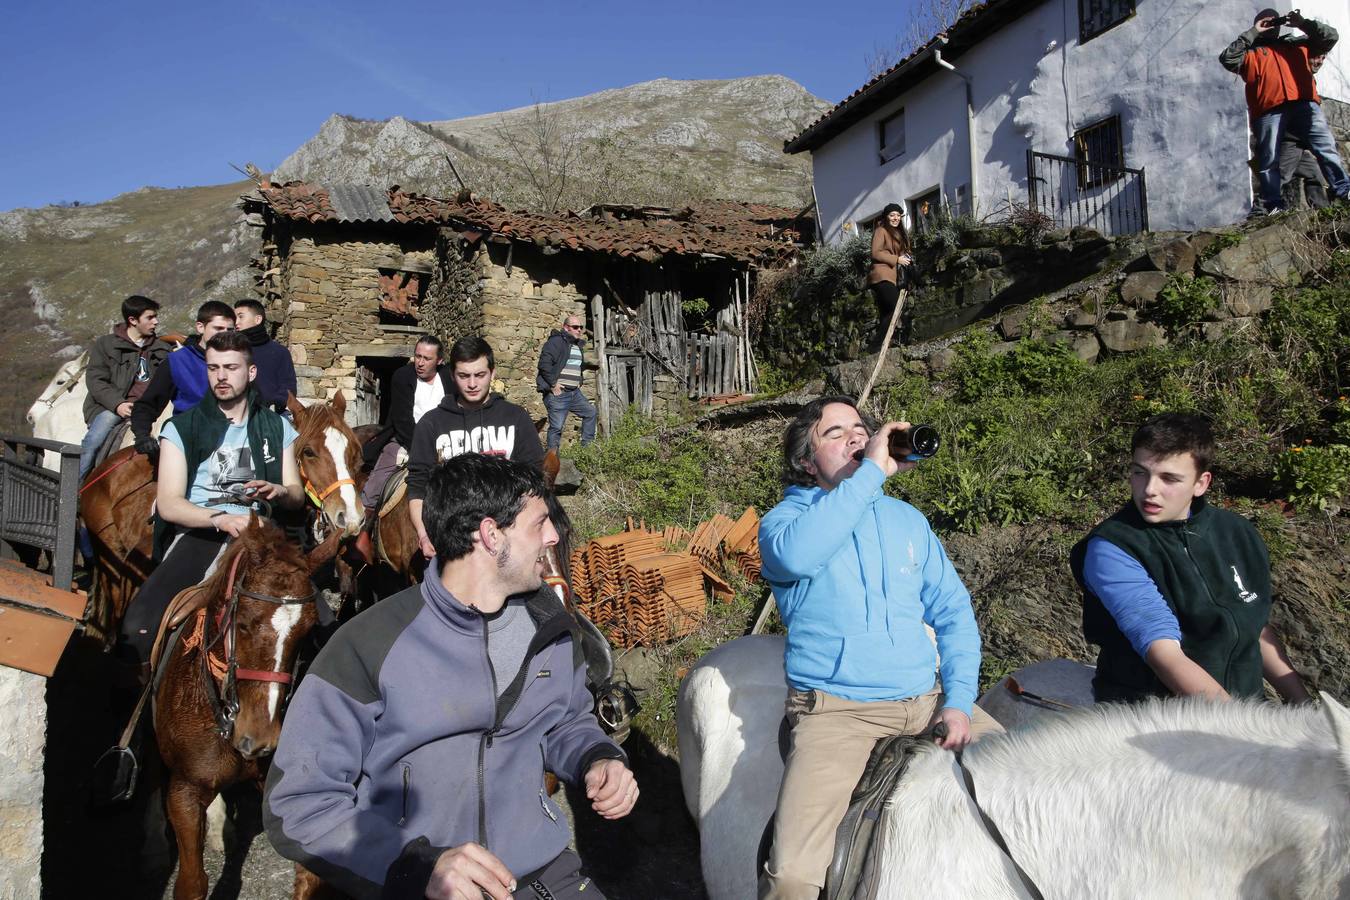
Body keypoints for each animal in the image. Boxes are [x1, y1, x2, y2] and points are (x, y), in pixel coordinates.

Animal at [154, 512, 321, 900]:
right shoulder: (182, 792)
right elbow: (191, 884)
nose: (259, 740)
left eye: (308, 632)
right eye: (243, 623)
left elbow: (310, 875)